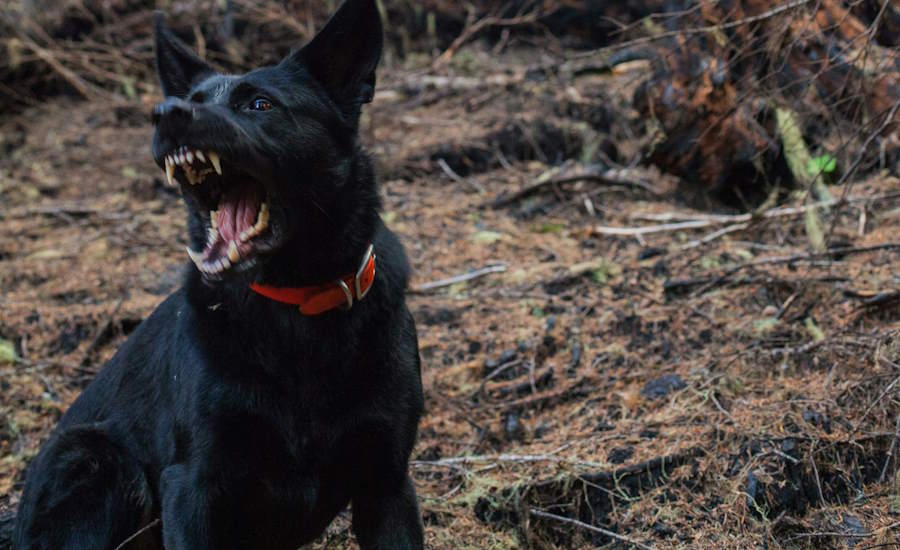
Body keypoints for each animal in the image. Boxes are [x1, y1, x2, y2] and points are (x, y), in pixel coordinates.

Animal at [11, 2, 426, 548]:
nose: (166, 113)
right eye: (193, 101)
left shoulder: (387, 483)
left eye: (260, 105)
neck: (296, 306)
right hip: (101, 463)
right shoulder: (193, 483)